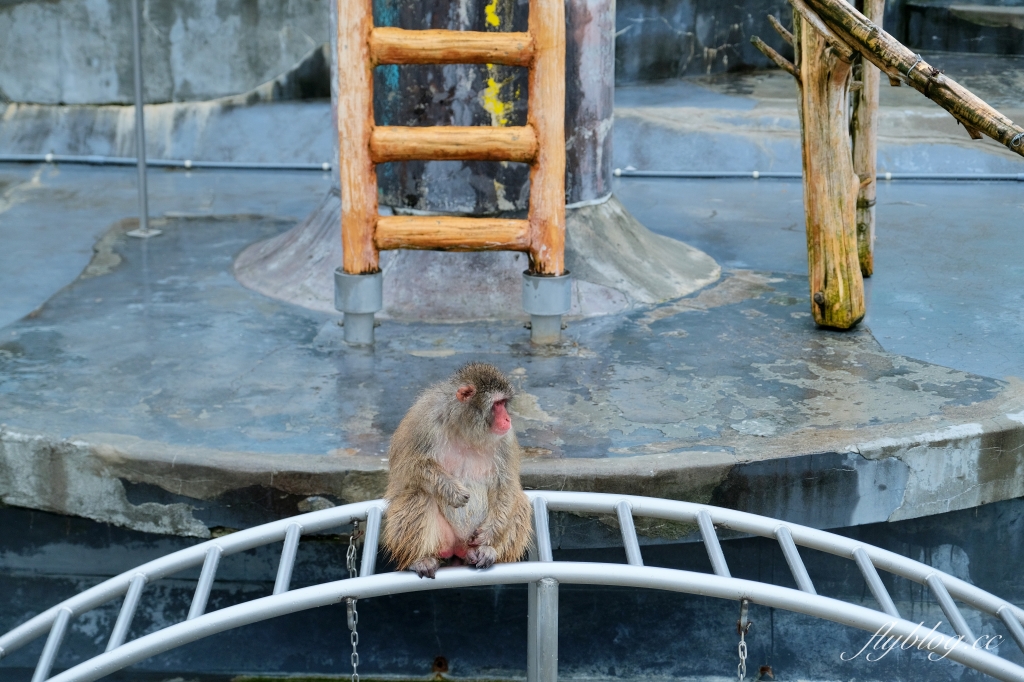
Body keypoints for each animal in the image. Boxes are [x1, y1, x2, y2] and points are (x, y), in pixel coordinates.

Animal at [380, 360, 532, 573]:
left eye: (503, 404)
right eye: (497, 404)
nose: (507, 419)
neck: (465, 427)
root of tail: (459, 548)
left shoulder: (506, 440)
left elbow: (506, 485)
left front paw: (489, 533)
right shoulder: (423, 421)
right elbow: (409, 467)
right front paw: (451, 490)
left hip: (470, 542)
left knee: (519, 501)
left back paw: (489, 550)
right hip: (442, 539)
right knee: (418, 494)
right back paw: (420, 558)